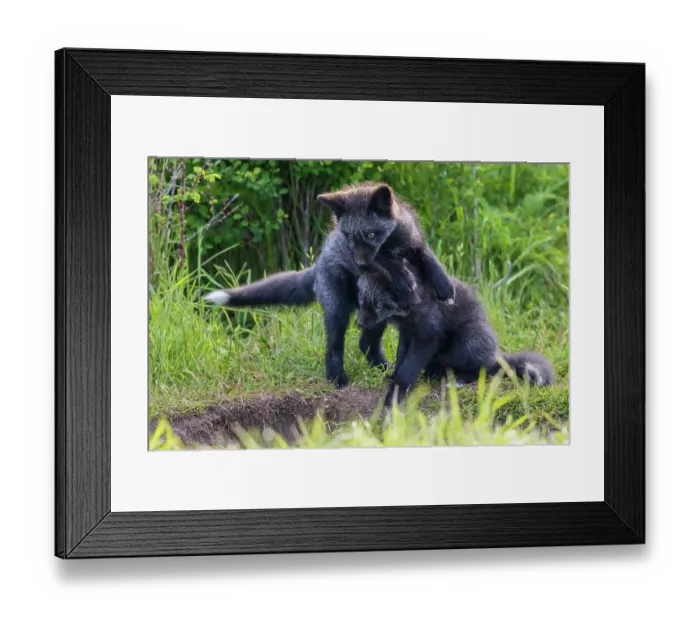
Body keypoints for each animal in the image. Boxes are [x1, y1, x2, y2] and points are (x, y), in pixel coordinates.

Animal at [204, 182, 455, 388]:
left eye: (371, 235)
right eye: (349, 237)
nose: (360, 264)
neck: (392, 243)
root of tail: (318, 264)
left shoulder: (413, 241)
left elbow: (428, 257)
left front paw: (444, 286)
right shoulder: (374, 261)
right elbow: (388, 263)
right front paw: (402, 275)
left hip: (374, 314)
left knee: (365, 344)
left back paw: (385, 369)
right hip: (338, 310)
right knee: (334, 347)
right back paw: (337, 378)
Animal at [355, 264, 555, 406]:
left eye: (379, 304)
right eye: (362, 300)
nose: (359, 323)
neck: (407, 312)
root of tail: (496, 354)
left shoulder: (428, 336)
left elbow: (408, 368)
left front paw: (396, 391)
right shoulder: (407, 333)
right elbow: (401, 358)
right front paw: (393, 376)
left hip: (467, 339)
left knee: (484, 369)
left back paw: (458, 380)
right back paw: (437, 374)